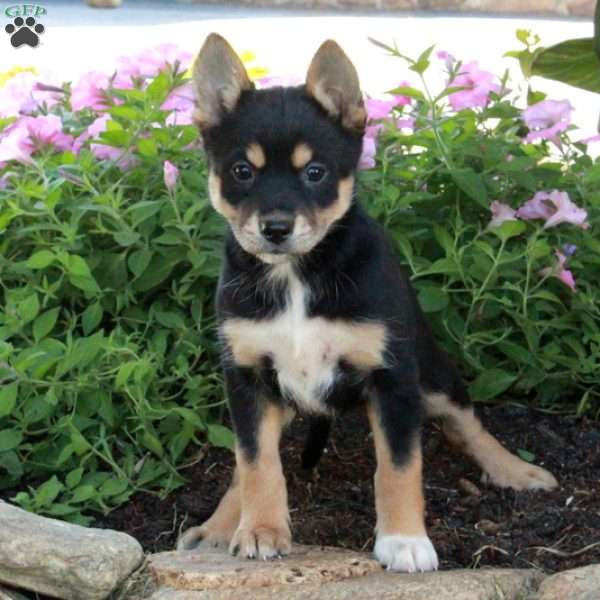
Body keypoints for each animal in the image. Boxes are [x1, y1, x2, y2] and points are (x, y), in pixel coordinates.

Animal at [179, 34, 556, 572]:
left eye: (315, 172)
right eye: (242, 171)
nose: (275, 228)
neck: (298, 276)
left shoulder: (392, 378)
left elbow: (398, 467)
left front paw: (404, 541)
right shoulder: (247, 378)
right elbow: (254, 462)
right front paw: (261, 529)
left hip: (432, 374)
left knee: (467, 424)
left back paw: (516, 471)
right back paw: (217, 525)